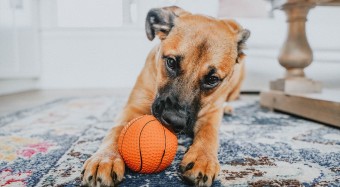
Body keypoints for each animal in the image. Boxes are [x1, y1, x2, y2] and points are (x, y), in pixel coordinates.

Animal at [80, 6, 248, 187]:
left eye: (212, 79)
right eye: (171, 62)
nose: (174, 121)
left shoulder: (211, 115)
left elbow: (209, 134)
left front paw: (203, 159)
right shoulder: (133, 106)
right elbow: (117, 130)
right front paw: (105, 158)